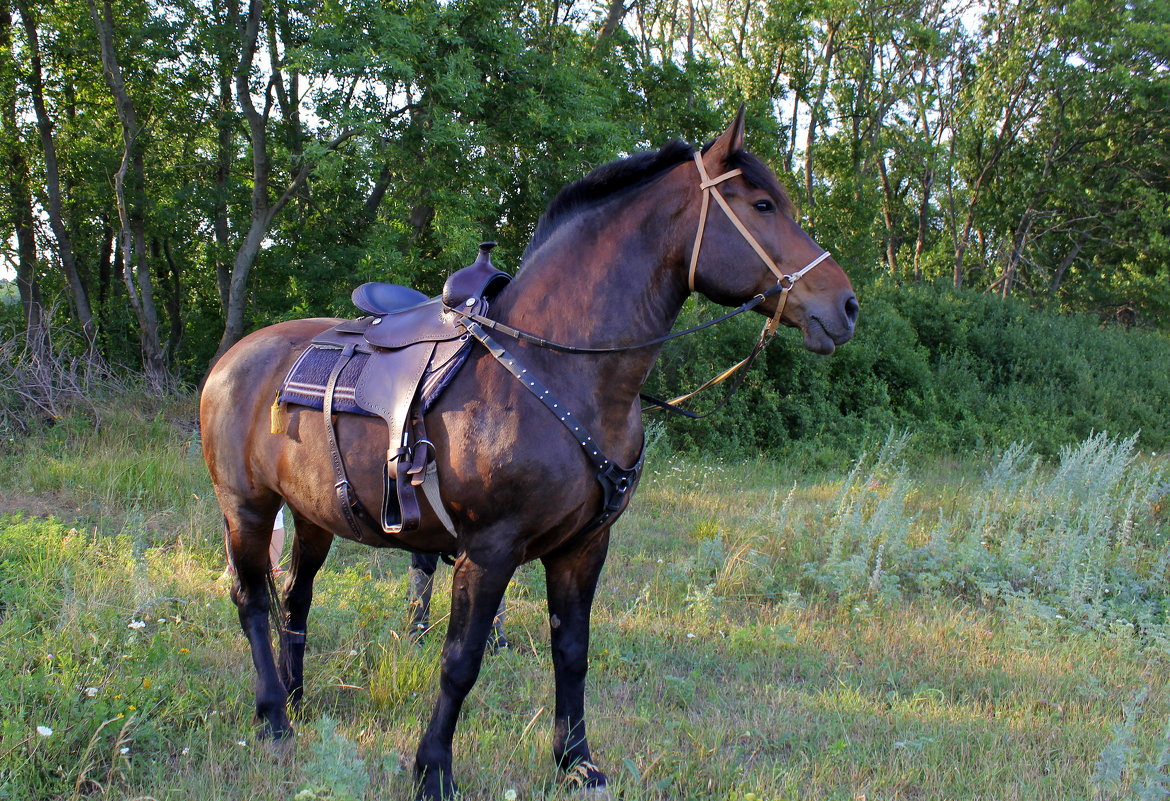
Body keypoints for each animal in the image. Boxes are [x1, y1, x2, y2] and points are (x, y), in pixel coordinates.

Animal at [198, 107, 861, 799]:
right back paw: (273, 718)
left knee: (295, 597)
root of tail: (233, 359)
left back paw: (295, 699)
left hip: (313, 516)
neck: (557, 368)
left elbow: (572, 652)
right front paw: (433, 771)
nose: (845, 305)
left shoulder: (583, 547)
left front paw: (576, 761)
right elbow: (461, 661)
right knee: (253, 601)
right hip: (246, 509)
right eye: (761, 204)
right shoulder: (489, 550)